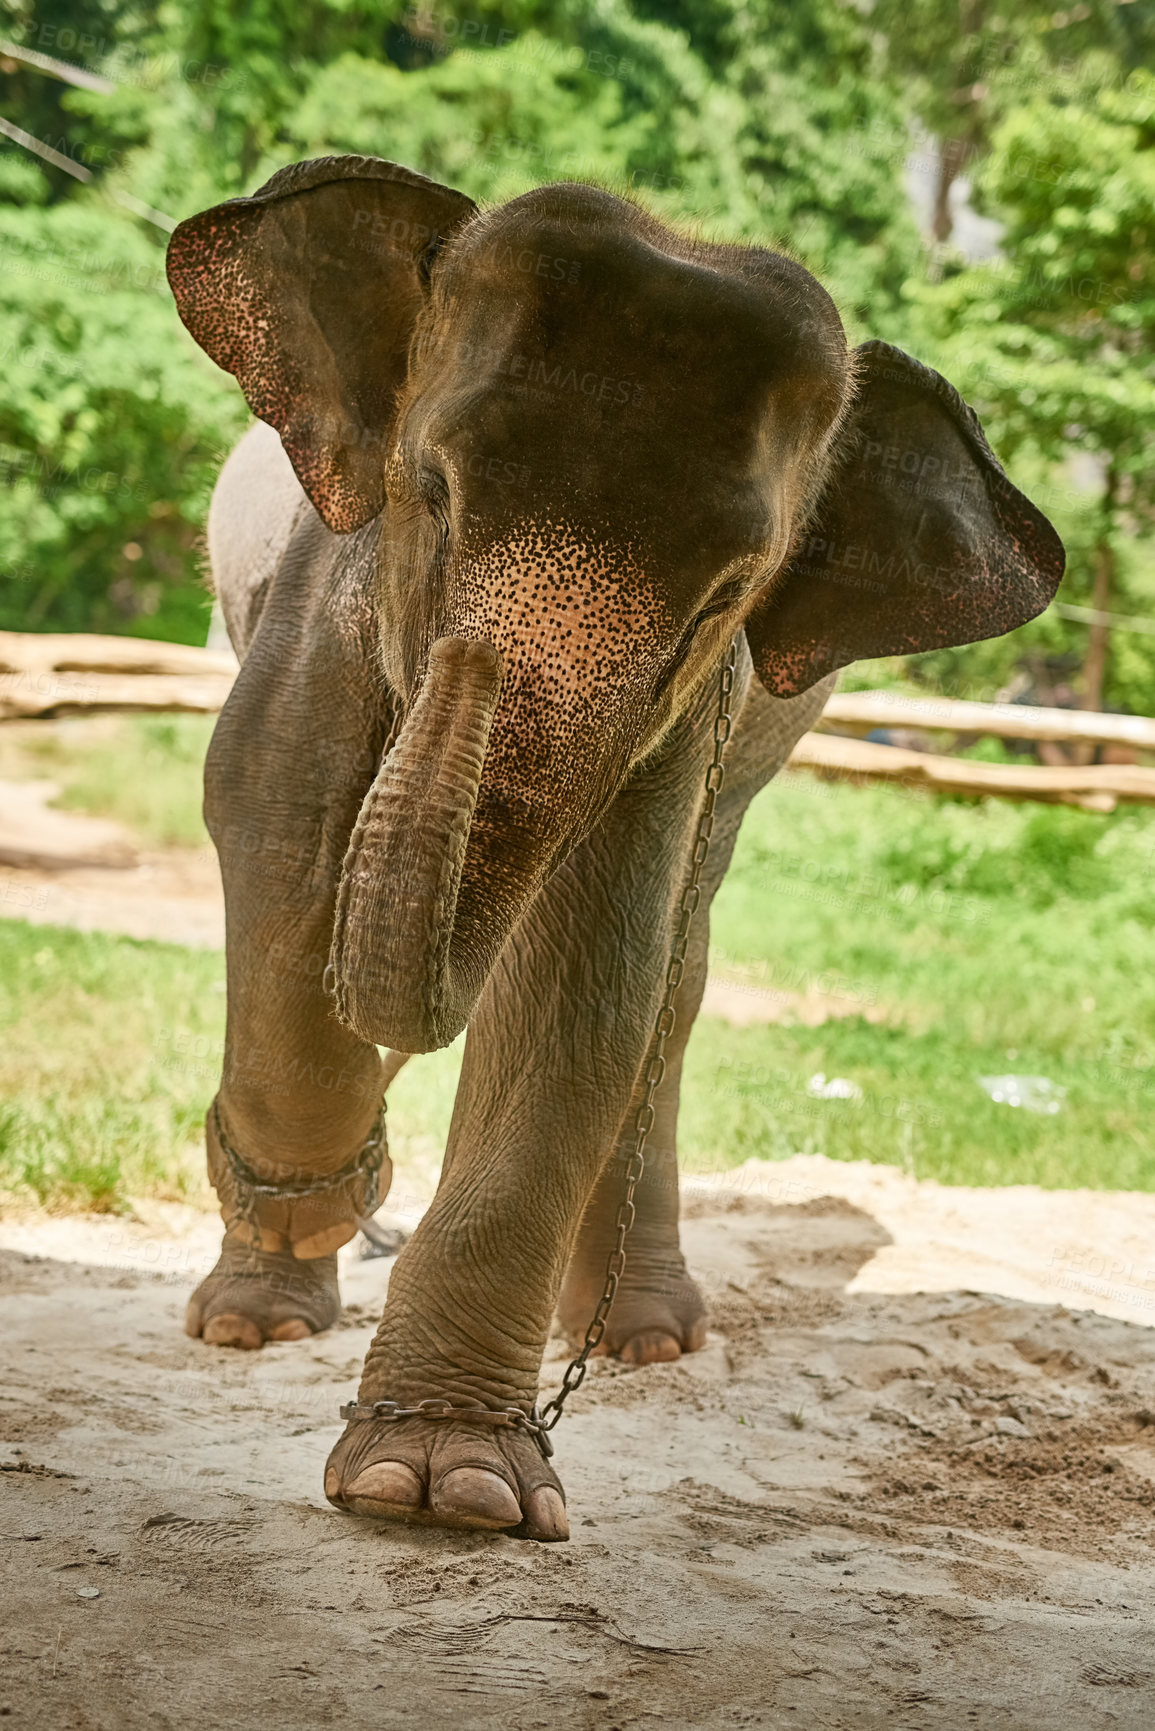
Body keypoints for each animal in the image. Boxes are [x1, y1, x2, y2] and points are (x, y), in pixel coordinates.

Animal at [164, 159, 1066, 1544]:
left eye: (728, 594)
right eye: (434, 492)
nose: (468, 667)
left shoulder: (690, 716)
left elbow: (589, 967)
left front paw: (447, 1486)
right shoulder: (322, 589)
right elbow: (278, 831)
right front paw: (318, 1216)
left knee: (674, 983)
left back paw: (642, 1337)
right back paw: (262, 1317)